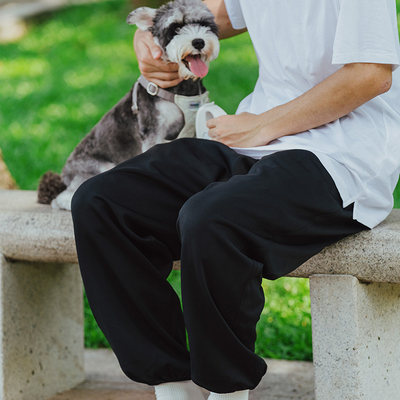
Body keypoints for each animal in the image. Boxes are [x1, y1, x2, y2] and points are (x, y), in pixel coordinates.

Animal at [37, 0, 219, 211]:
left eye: (205, 24)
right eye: (175, 28)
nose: (198, 42)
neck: (183, 87)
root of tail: (65, 174)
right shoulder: (153, 134)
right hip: (101, 166)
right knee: (62, 197)